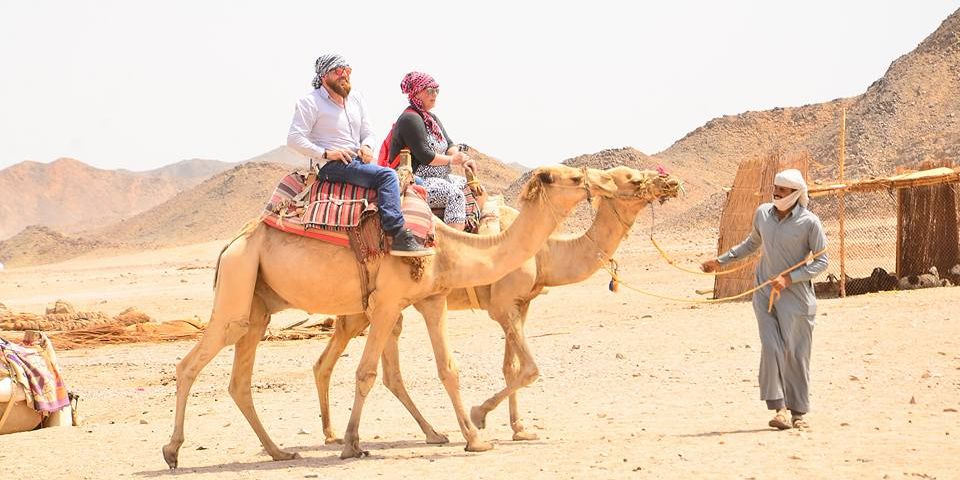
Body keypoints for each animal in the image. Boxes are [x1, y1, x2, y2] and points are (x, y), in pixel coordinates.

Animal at [161, 163, 620, 466]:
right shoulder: (386, 302)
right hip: (240, 281)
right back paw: (172, 451)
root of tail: (234, 242)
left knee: (242, 379)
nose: (601, 182)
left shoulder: (432, 299)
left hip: (259, 303)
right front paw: (351, 443)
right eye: (574, 177)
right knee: (191, 364)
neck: (448, 242)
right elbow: (365, 373)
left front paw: (474, 437)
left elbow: (448, 369)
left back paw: (279, 451)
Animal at [312, 167, 680, 444]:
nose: (671, 182)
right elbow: (529, 368)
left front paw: (520, 428)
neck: (545, 254)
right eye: (633, 178)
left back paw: (344, 433)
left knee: (336, 363)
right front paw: (480, 415)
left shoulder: (521, 304)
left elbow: (511, 367)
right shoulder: (502, 306)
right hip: (362, 307)